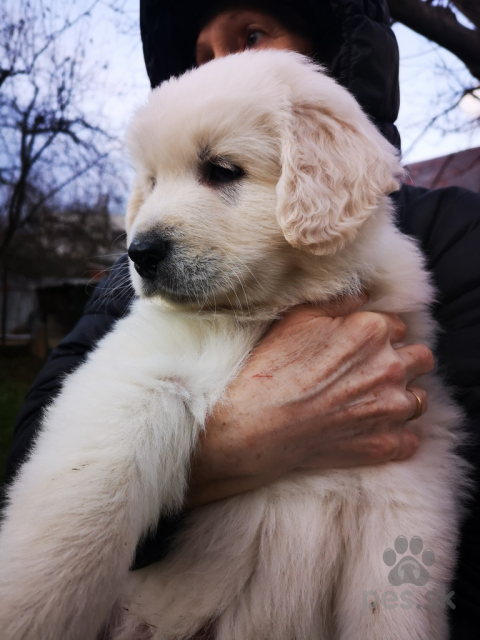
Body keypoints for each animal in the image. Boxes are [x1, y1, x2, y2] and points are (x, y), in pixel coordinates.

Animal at [0, 51, 464, 640]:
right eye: (151, 182)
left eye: (221, 170)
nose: (139, 252)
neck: (260, 312)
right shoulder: (139, 374)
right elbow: (74, 522)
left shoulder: (404, 489)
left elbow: (395, 604)